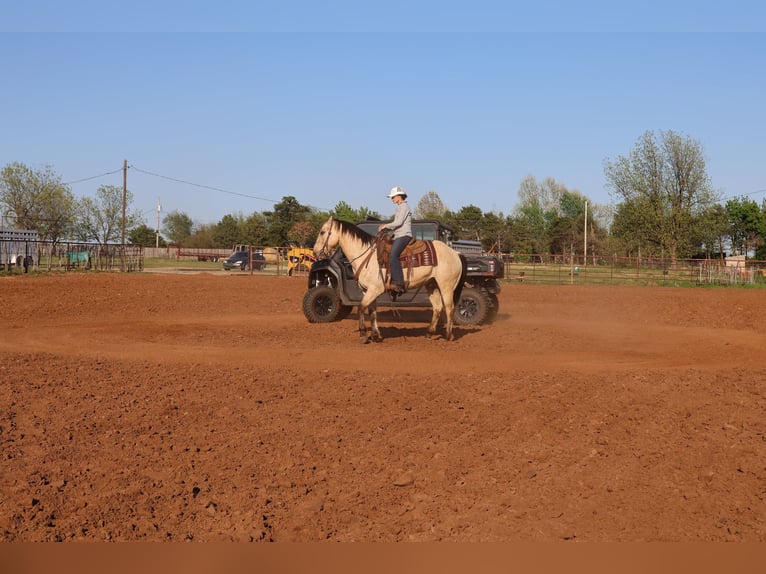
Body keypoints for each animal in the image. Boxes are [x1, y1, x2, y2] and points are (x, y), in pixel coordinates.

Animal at [313, 217, 467, 343]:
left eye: (322, 232)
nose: (315, 252)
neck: (367, 256)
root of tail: (455, 253)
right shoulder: (367, 291)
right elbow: (372, 311)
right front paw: (376, 336)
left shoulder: (374, 289)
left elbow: (361, 307)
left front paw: (364, 334)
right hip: (431, 284)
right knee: (437, 307)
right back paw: (429, 333)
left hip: (446, 286)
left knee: (449, 307)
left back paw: (448, 336)